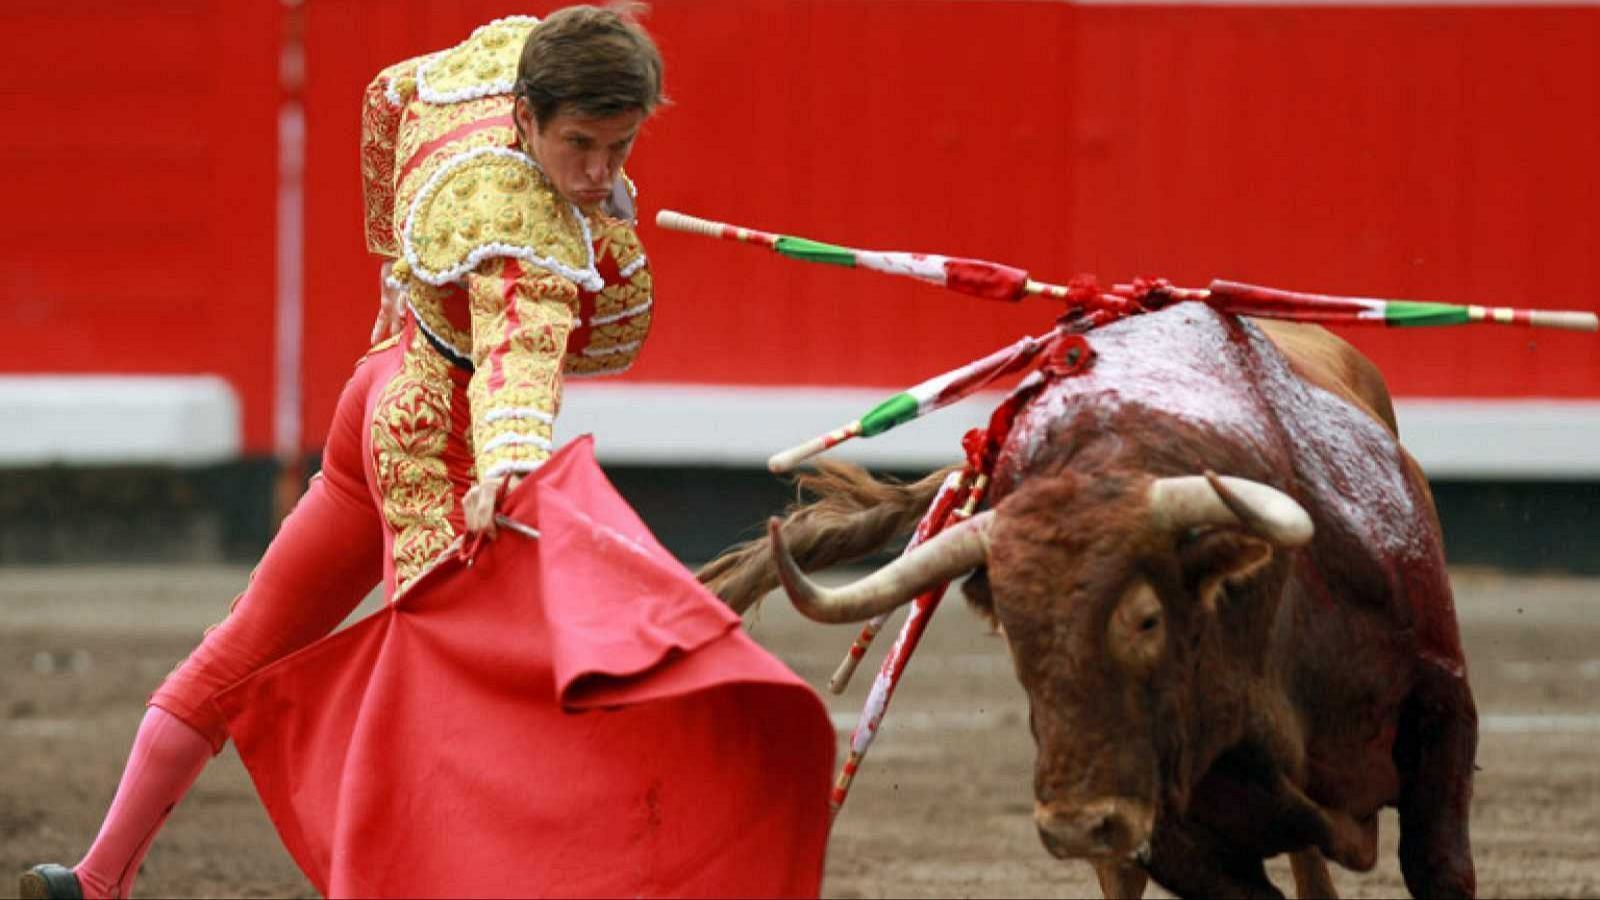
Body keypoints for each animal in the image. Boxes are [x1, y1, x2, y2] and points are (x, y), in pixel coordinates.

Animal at [707, 302, 1478, 896]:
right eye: (1017, 638)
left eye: (1147, 619)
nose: (1074, 825)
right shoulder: (1165, 825)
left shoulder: (1443, 712)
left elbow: (1438, 866)